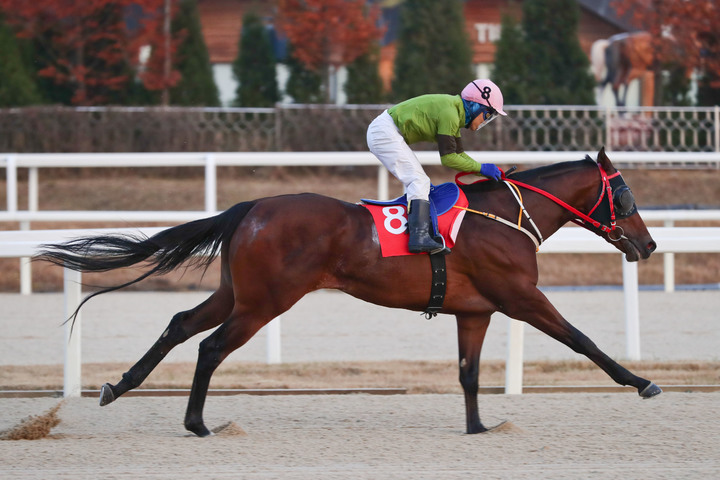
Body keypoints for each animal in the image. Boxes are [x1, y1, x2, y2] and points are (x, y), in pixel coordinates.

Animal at [36, 146, 660, 436]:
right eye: (626, 195)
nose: (649, 244)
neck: (504, 217)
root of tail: (250, 208)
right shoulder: (521, 298)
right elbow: (583, 340)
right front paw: (642, 383)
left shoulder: (475, 311)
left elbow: (468, 372)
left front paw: (479, 426)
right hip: (265, 302)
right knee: (210, 347)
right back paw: (197, 423)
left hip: (238, 293)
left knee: (180, 324)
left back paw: (117, 386)